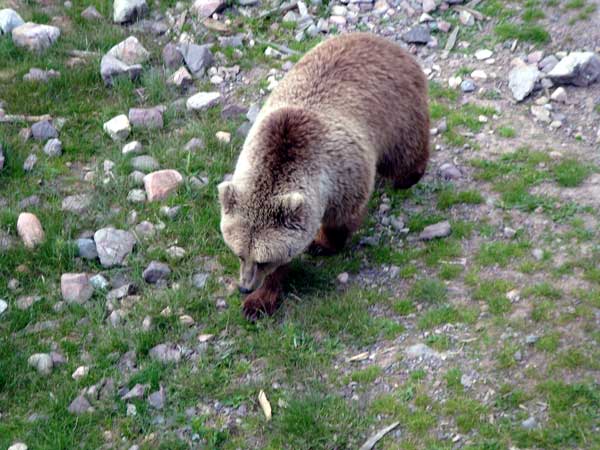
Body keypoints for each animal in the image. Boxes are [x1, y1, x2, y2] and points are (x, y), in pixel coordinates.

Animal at [218, 31, 428, 320]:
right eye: (239, 253)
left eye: (263, 260)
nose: (244, 287)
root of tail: (385, 42)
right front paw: (259, 301)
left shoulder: (344, 174)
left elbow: (342, 219)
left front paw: (322, 243)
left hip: (398, 111)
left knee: (405, 152)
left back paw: (409, 177)